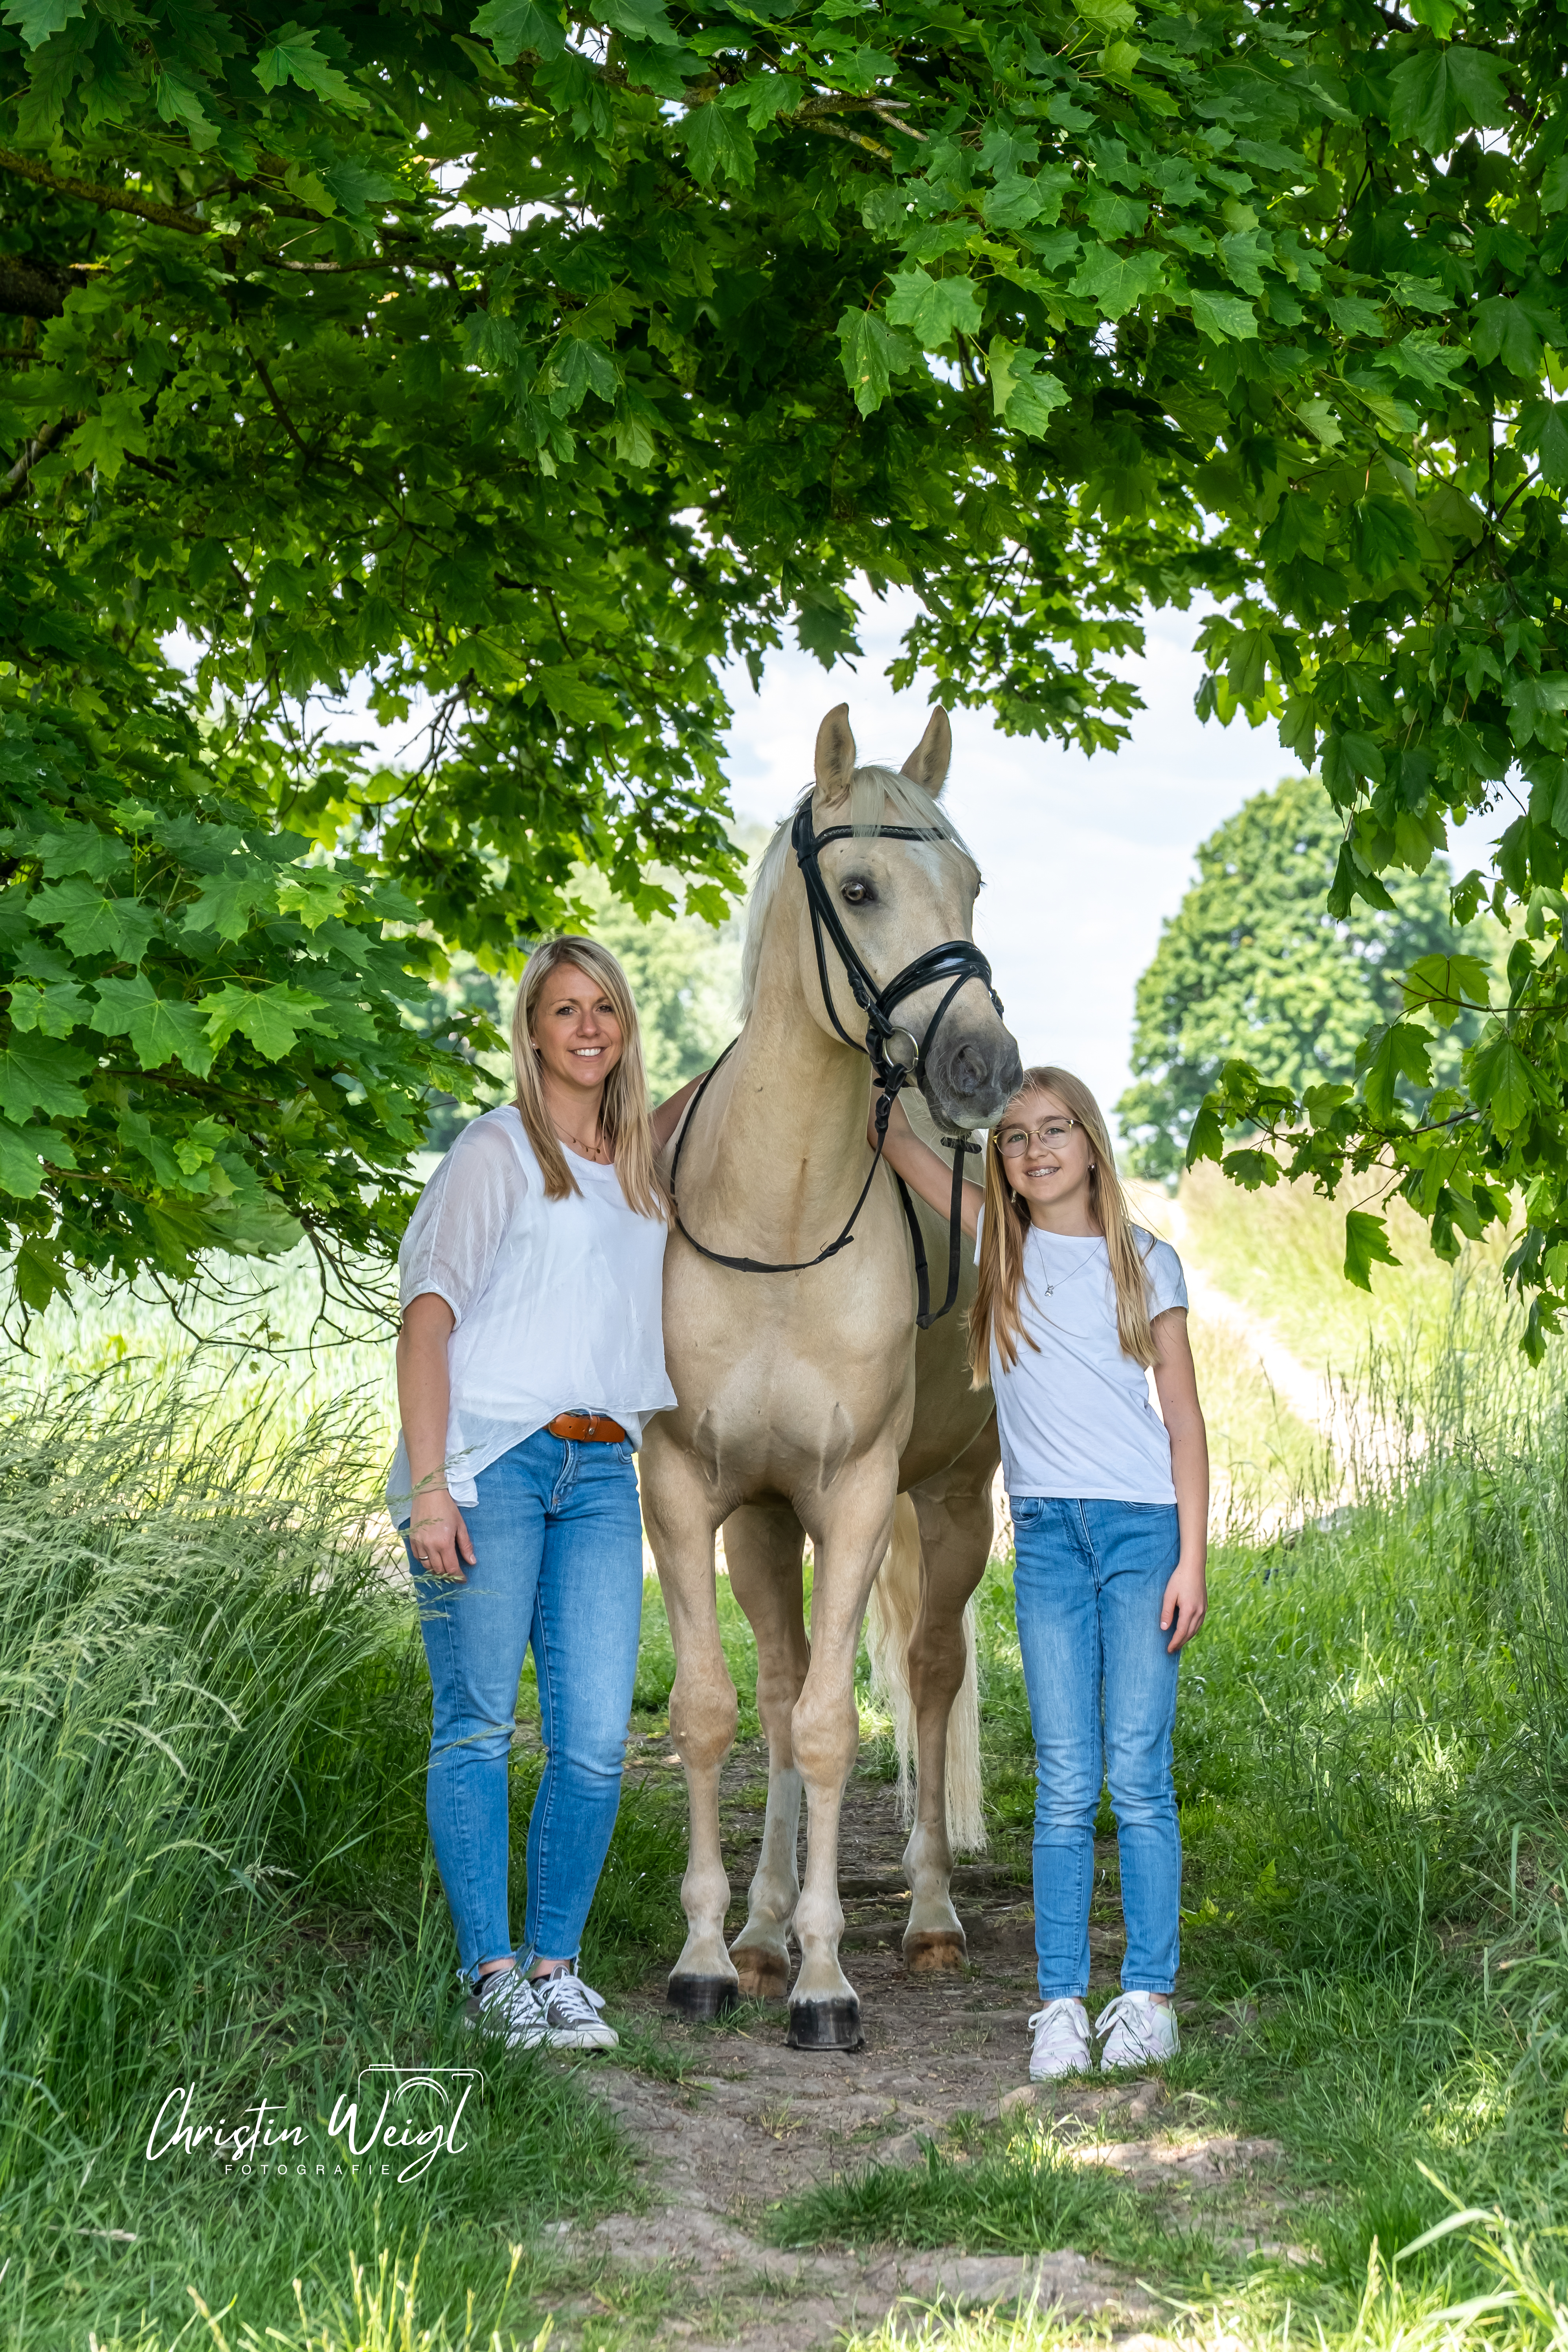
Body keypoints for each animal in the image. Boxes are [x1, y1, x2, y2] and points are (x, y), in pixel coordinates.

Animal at [640, 701, 1024, 2050]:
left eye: (971, 883)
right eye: (856, 889)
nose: (984, 1071)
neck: (777, 1217)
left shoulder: (859, 1496)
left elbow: (830, 1726)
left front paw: (824, 1980)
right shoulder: (690, 1495)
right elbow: (722, 1712)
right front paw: (713, 1954)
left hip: (949, 1506)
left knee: (927, 1679)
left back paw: (926, 1915)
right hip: (766, 1521)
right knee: (775, 1684)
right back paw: (758, 1930)